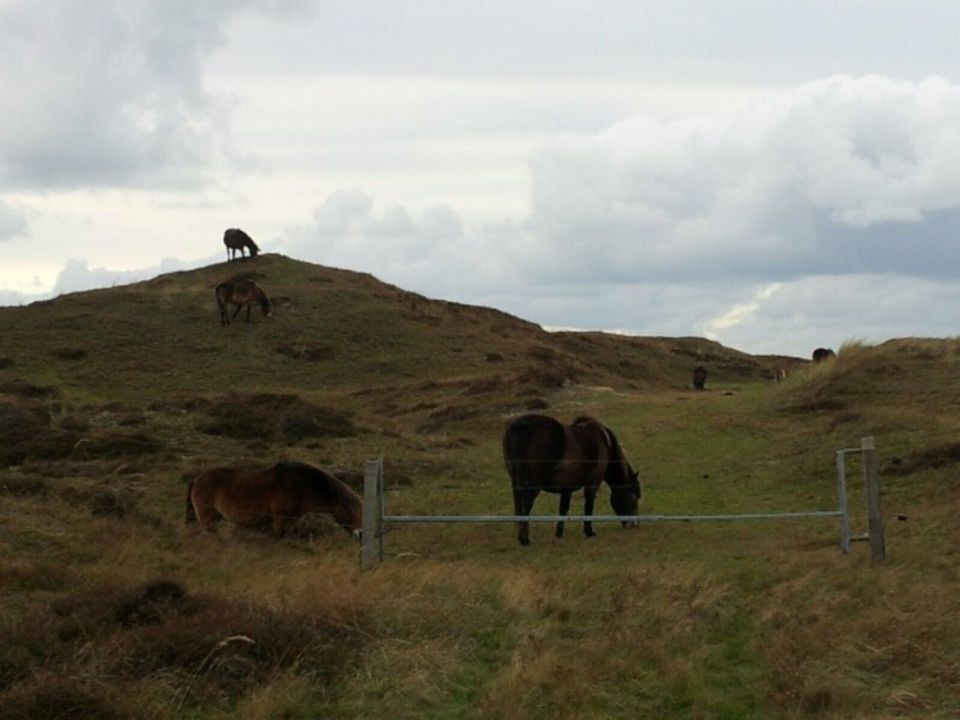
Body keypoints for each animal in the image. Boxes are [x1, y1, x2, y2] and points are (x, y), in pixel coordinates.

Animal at [185, 462, 364, 540]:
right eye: (352, 510)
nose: (361, 534)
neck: (299, 486)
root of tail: (196, 478)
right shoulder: (279, 520)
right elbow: (279, 538)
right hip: (208, 519)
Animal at [498, 414, 640, 544]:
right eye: (633, 496)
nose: (635, 524)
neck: (604, 442)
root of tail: (520, 427)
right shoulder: (594, 482)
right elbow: (588, 505)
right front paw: (589, 531)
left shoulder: (567, 487)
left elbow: (563, 509)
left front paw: (559, 533)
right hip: (531, 484)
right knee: (526, 506)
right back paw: (525, 540)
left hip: (516, 481)